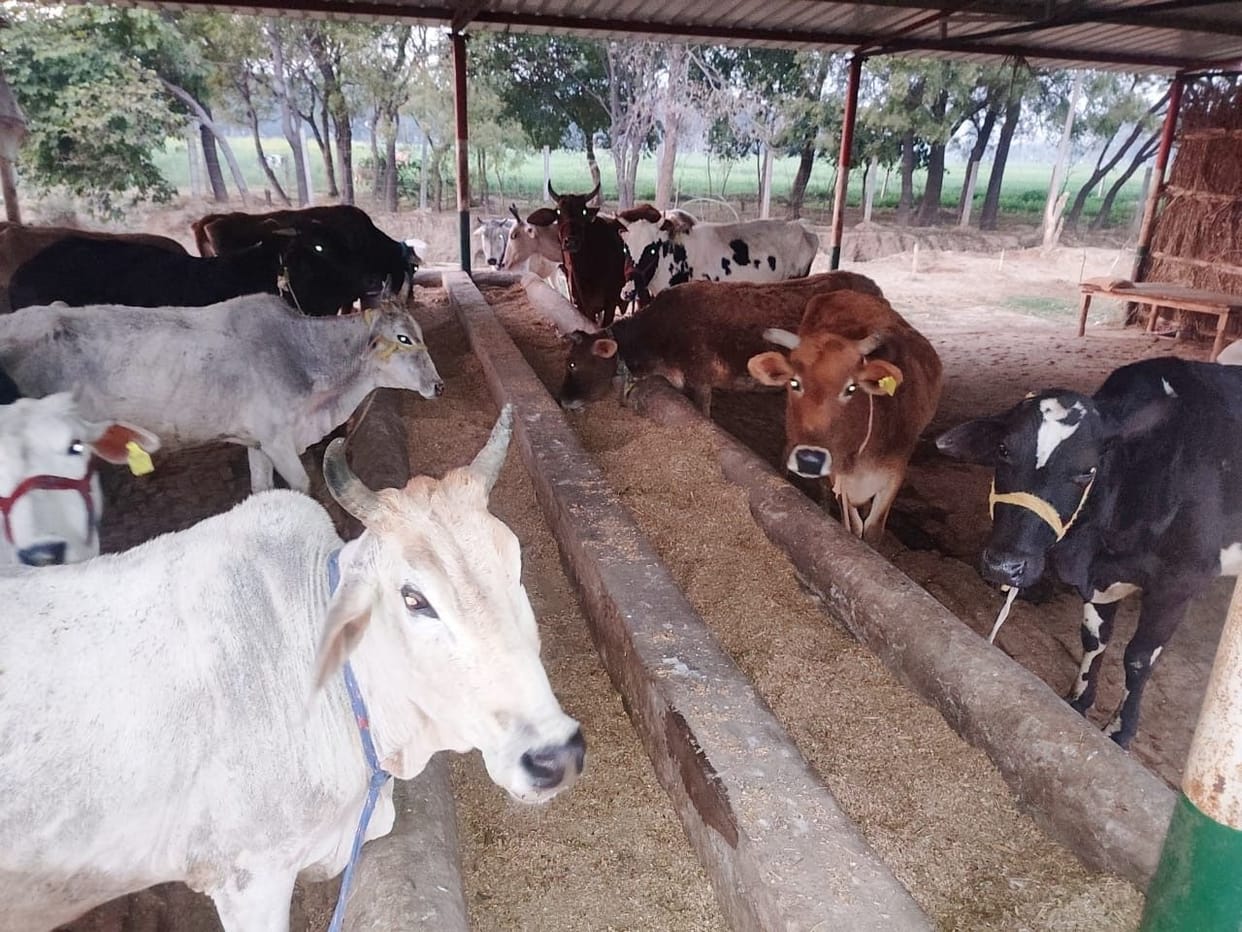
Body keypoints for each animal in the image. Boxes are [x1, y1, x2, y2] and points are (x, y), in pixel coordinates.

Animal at [0, 294, 444, 493]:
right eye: (403, 338)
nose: (438, 385)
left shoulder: (257, 443)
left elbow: (261, 489)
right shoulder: (279, 441)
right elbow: (304, 487)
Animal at [747, 290, 943, 543]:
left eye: (851, 388)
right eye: (794, 382)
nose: (810, 460)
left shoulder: (894, 474)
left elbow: (872, 530)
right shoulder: (839, 477)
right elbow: (852, 527)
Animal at [935, 357, 1242, 747]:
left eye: (1086, 470)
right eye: (1003, 450)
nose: (1005, 566)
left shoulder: (1178, 583)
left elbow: (1139, 659)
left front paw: (1119, 730)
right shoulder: (1099, 578)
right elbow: (1094, 638)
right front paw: (1079, 700)